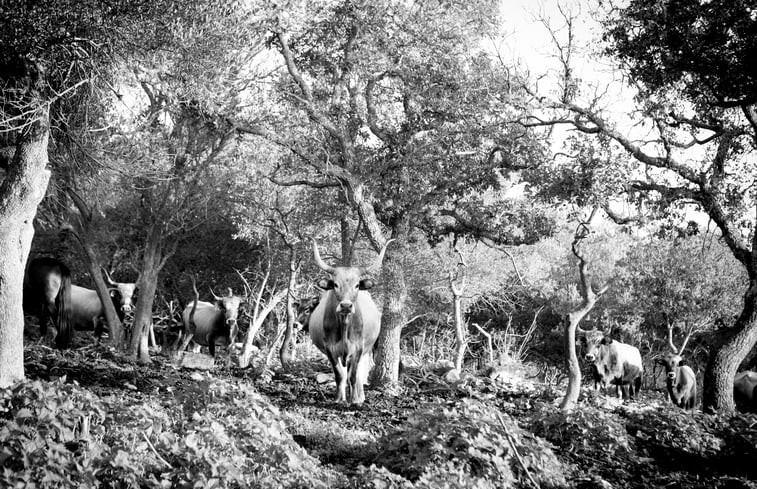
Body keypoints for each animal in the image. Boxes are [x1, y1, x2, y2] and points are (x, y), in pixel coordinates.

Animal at [308, 237, 392, 404]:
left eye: (357, 285)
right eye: (335, 284)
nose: (346, 305)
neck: (345, 325)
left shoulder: (358, 348)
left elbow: (353, 376)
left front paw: (355, 400)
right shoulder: (330, 349)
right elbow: (340, 375)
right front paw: (339, 399)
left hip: (367, 349)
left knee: (360, 372)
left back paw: (360, 396)